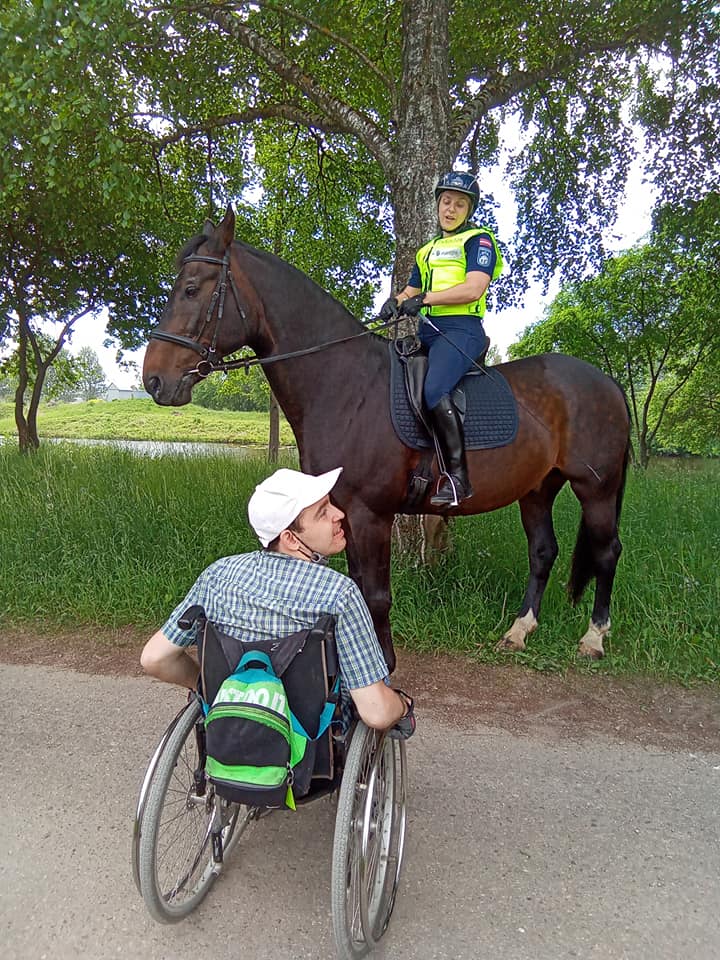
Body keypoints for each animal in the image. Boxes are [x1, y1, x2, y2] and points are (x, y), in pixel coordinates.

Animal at [145, 208, 632, 676]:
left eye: (191, 289)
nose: (154, 380)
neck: (347, 383)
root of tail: (606, 381)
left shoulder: (370, 514)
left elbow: (376, 594)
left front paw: (383, 669)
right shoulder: (345, 510)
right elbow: (360, 588)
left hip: (597, 488)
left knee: (608, 552)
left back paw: (594, 638)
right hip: (537, 489)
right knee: (543, 551)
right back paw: (519, 631)